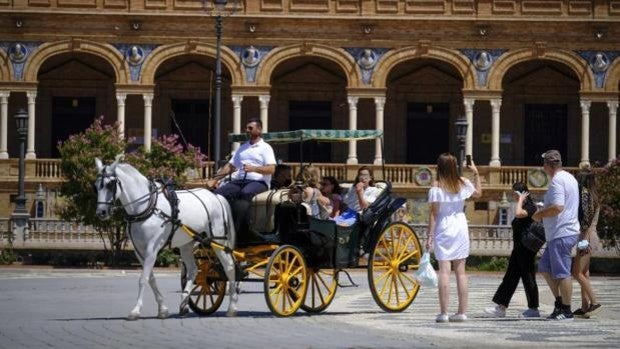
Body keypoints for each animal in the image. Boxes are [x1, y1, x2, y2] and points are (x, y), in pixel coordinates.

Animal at [94, 156, 240, 320]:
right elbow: (151, 278)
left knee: (229, 267)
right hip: (187, 244)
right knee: (193, 270)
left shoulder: (152, 249)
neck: (147, 206)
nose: (101, 212)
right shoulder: (139, 251)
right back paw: (184, 303)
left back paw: (232, 307)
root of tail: (216, 196)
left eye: (110, 184)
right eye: (95, 186)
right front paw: (162, 308)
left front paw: (136, 310)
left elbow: (143, 279)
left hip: (218, 241)